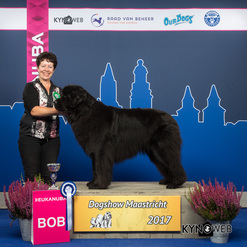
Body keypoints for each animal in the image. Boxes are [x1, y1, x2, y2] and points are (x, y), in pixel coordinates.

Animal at [55, 85, 186, 189]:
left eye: (65, 96)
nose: (55, 102)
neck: (85, 112)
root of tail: (172, 119)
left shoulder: (101, 150)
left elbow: (99, 168)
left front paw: (98, 185)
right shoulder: (95, 152)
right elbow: (94, 169)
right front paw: (92, 183)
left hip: (162, 147)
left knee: (173, 162)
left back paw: (175, 183)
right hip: (154, 151)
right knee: (165, 164)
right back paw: (167, 180)